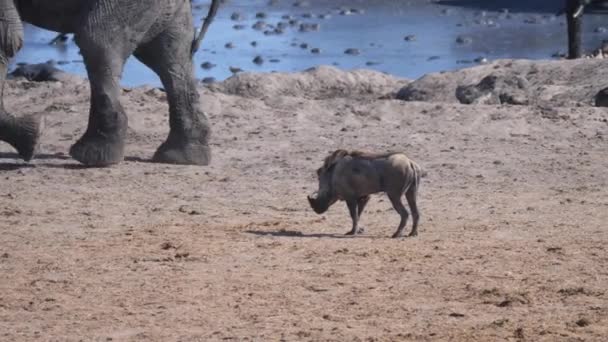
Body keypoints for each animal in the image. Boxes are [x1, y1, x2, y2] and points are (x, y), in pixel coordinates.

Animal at [0, 0, 221, 166]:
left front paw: (31, 139)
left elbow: (7, 40)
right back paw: (182, 156)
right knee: (171, 55)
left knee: (96, 41)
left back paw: (93, 156)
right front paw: (30, 139)